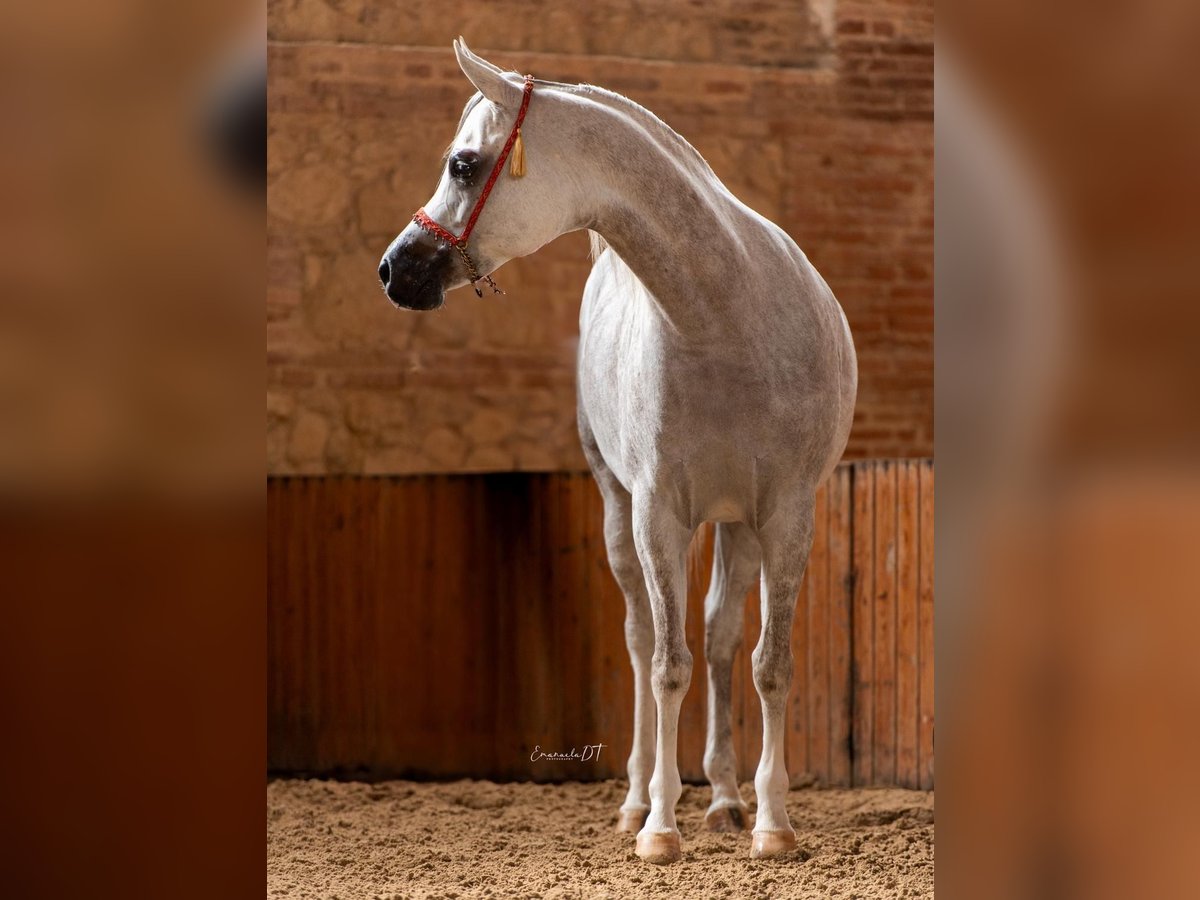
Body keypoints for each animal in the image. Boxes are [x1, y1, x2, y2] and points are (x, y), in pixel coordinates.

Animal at [379, 37, 859, 868]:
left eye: (464, 165)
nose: (395, 269)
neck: (726, 317)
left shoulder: (787, 515)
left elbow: (769, 665)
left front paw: (771, 823)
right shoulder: (657, 514)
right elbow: (665, 665)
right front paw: (660, 828)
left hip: (736, 525)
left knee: (720, 635)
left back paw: (726, 798)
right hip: (619, 513)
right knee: (642, 638)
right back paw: (638, 800)